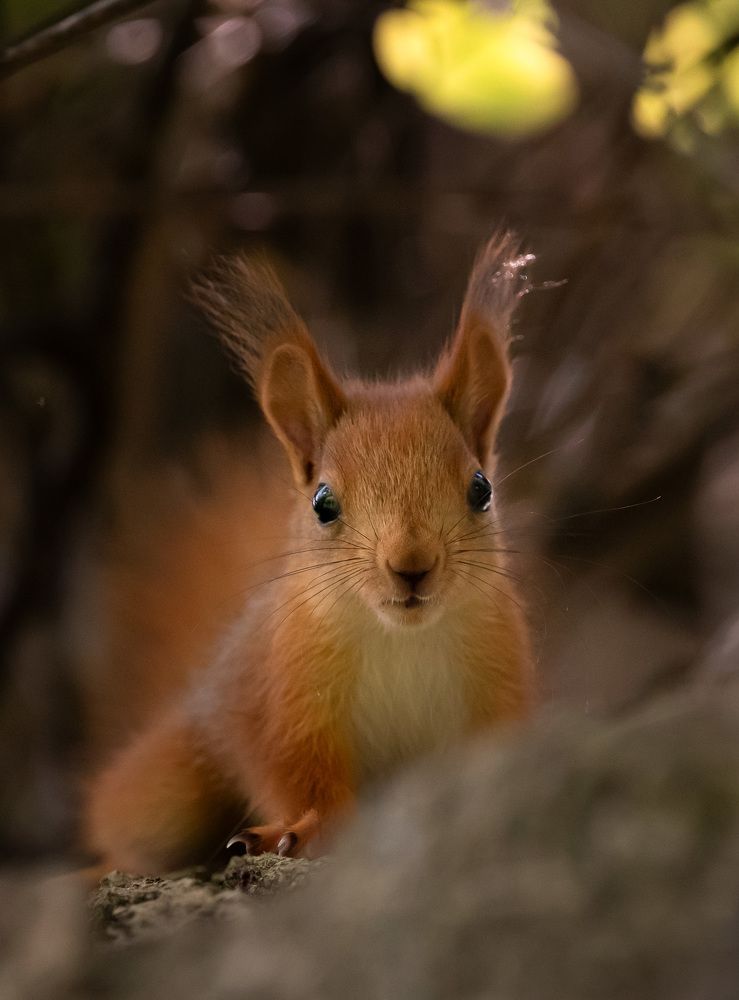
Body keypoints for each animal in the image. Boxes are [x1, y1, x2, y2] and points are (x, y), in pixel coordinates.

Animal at [84, 232, 536, 873]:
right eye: (324, 502)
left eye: (482, 490)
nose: (412, 567)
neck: (402, 639)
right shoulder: (285, 698)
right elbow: (296, 775)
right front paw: (304, 831)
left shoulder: (497, 675)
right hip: (169, 785)